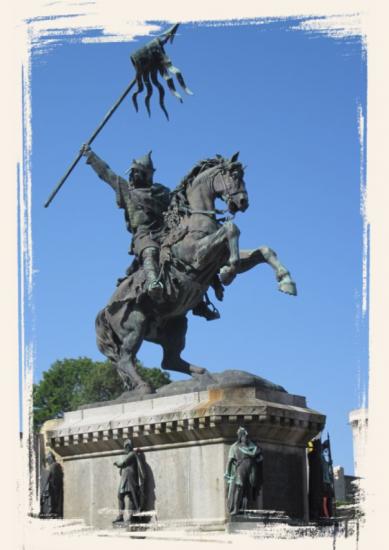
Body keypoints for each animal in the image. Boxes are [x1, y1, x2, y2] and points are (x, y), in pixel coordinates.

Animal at [95, 153, 296, 394]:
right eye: (233, 175)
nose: (242, 202)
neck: (195, 220)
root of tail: (104, 312)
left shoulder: (219, 257)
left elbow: (264, 250)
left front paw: (286, 281)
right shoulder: (196, 257)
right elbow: (231, 229)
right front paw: (229, 272)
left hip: (175, 326)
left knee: (169, 360)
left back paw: (204, 375)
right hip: (135, 325)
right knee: (126, 358)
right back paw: (145, 386)